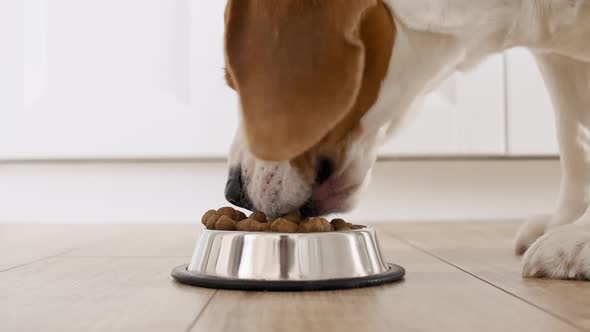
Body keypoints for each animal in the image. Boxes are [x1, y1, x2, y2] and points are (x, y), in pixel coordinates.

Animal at [223, 0, 590, 280]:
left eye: (233, 82)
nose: (232, 191)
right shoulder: (557, 60)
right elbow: (574, 141)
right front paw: (563, 222)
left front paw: (577, 238)